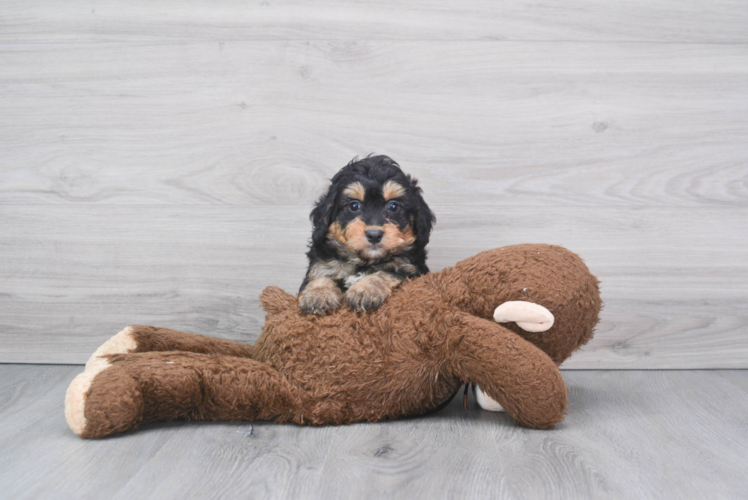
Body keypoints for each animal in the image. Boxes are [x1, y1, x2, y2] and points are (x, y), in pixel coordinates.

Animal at [300, 154, 436, 314]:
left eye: (393, 206)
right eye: (354, 205)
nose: (374, 235)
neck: (364, 262)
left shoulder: (411, 272)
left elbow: (384, 274)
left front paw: (364, 290)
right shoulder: (322, 263)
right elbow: (321, 275)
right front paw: (318, 294)